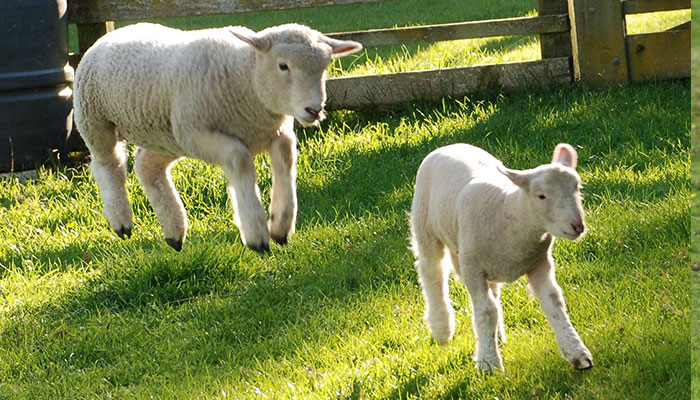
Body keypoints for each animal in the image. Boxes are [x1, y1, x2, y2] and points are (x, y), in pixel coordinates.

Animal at [73, 23, 362, 252]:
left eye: (324, 68)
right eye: (283, 65)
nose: (314, 109)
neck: (244, 77)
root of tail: (115, 32)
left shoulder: (274, 132)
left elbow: (286, 155)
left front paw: (280, 224)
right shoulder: (199, 134)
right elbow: (240, 159)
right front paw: (256, 233)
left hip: (167, 135)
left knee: (147, 166)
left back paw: (174, 232)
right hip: (95, 117)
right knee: (108, 163)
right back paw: (121, 221)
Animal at [410, 143, 592, 373]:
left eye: (577, 188)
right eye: (541, 196)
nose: (577, 225)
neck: (510, 210)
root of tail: (451, 145)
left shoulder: (539, 262)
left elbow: (554, 301)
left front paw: (577, 352)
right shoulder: (472, 268)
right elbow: (487, 311)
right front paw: (489, 364)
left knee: (492, 292)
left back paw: (494, 336)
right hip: (425, 226)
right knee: (432, 273)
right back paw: (442, 328)